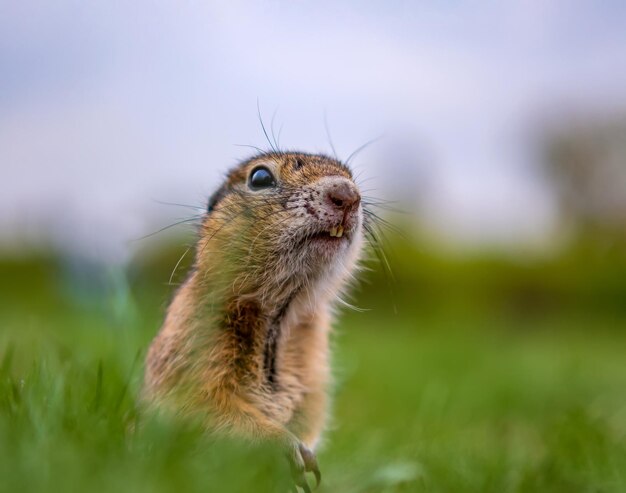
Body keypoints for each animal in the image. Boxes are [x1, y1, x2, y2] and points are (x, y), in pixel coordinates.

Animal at [144, 152, 364, 490]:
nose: (348, 194)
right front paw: (290, 451)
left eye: (350, 175)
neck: (279, 314)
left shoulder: (313, 373)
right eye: (260, 177)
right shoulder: (193, 341)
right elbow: (204, 405)